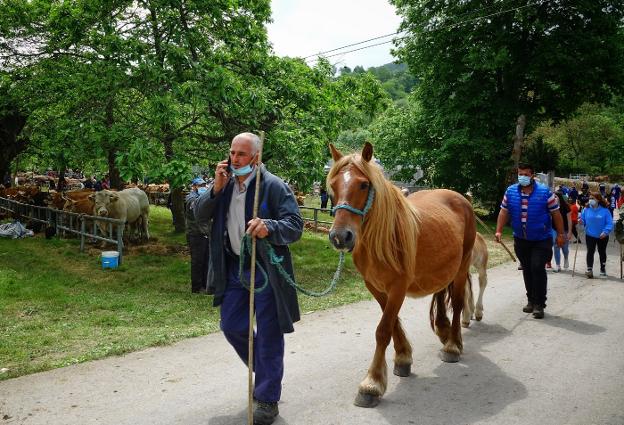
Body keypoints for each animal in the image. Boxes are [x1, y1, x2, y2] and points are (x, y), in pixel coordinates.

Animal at [330, 142, 476, 408]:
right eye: (333, 185)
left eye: (363, 185)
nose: (340, 237)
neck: (383, 238)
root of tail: (462, 198)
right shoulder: (375, 287)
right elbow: (392, 323)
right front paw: (403, 358)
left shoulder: (398, 287)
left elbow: (383, 330)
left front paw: (371, 384)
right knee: (441, 293)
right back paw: (443, 329)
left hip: (461, 268)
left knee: (459, 303)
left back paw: (452, 345)